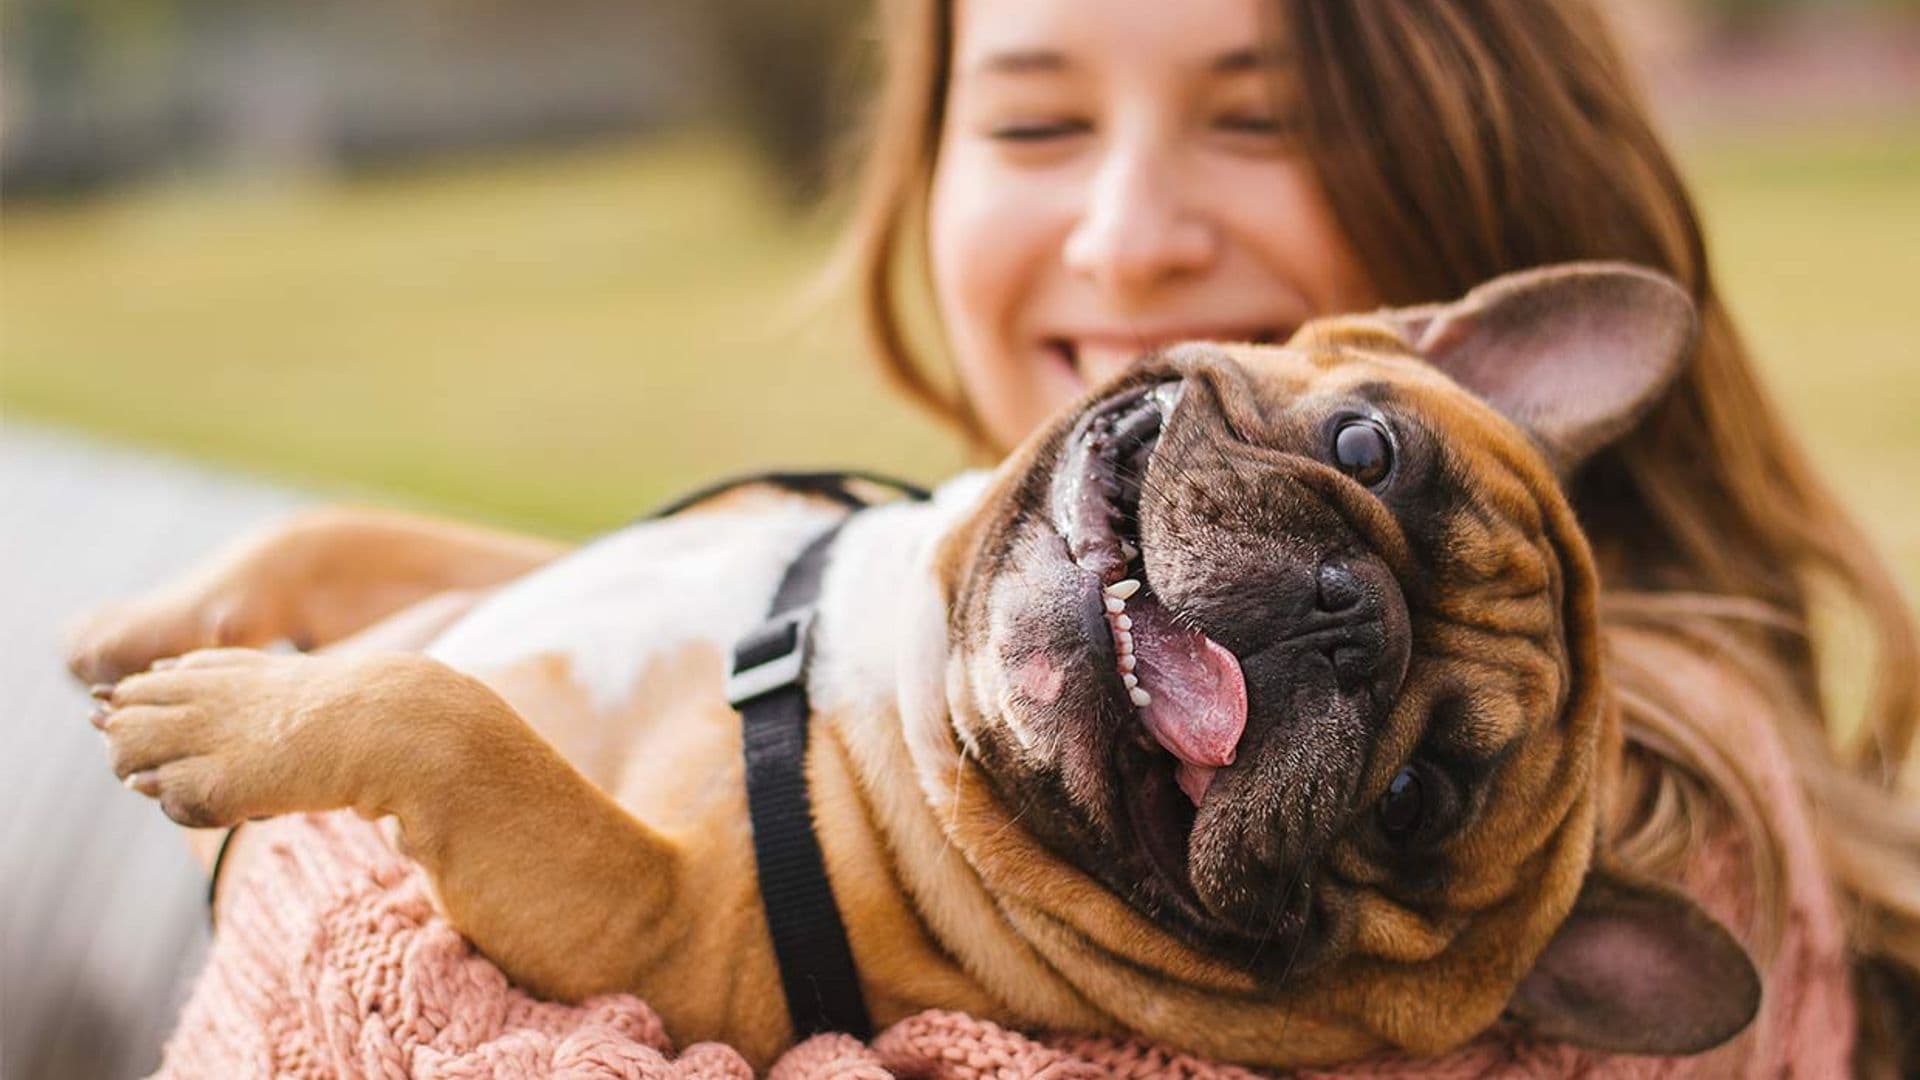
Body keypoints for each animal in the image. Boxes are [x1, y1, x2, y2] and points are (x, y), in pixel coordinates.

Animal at [74, 263, 1758, 1068]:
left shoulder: (651, 930)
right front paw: (165, 621)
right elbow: (355, 538)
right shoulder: (535, 567)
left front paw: (226, 715)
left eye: (1415, 800)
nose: (1351, 617)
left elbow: (454, 719)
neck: (885, 664)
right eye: (1366, 448)